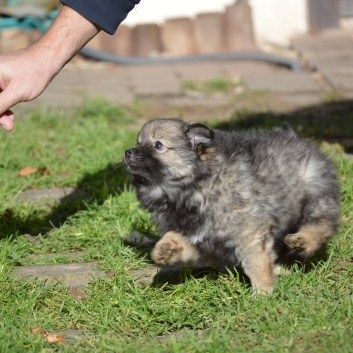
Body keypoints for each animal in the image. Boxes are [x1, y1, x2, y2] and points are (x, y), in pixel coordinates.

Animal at [123, 118, 338, 294]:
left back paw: (302, 240)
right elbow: (183, 243)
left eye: (158, 145)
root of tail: (293, 136)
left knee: (322, 226)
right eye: (138, 141)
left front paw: (262, 294)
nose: (128, 151)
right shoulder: (204, 242)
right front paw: (167, 248)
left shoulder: (249, 231)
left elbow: (255, 263)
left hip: (316, 195)